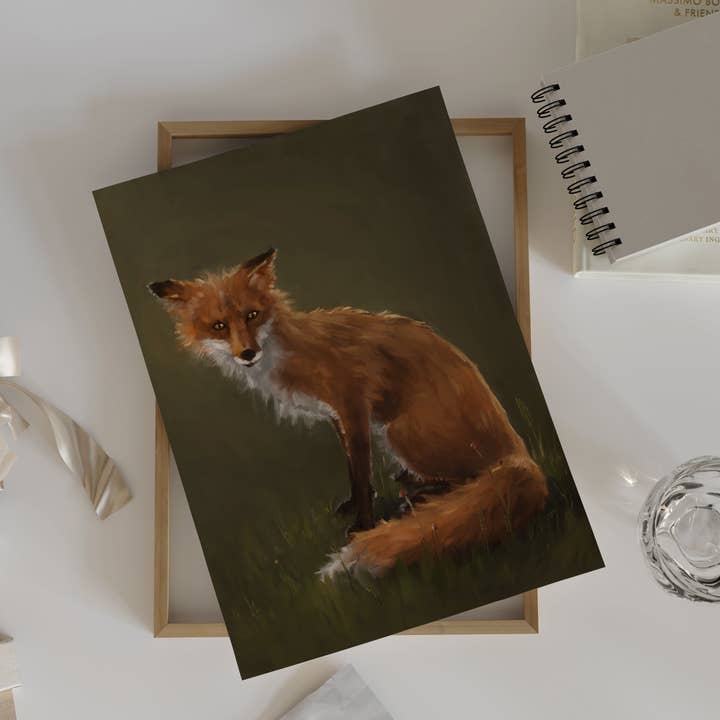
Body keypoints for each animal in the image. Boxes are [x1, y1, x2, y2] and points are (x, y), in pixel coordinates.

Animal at [149, 248, 548, 579]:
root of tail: (519, 451)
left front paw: (363, 525)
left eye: (252, 315)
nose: (248, 353)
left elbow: (360, 470)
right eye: (218, 326)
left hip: (399, 432)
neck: (288, 352)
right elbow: (354, 471)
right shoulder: (336, 417)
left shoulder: (354, 404)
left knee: (473, 478)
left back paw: (423, 495)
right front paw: (355, 505)